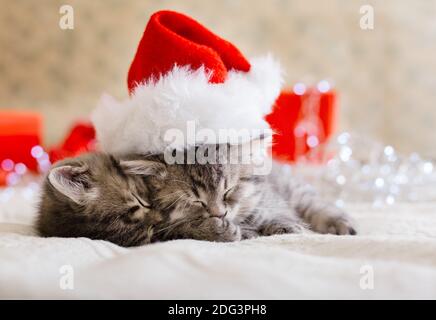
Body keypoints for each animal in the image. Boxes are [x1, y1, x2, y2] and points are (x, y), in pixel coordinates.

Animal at [37, 142, 356, 245]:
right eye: (147, 234)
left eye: (140, 201)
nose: (159, 219)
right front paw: (221, 229)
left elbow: (274, 214)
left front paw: (284, 226)